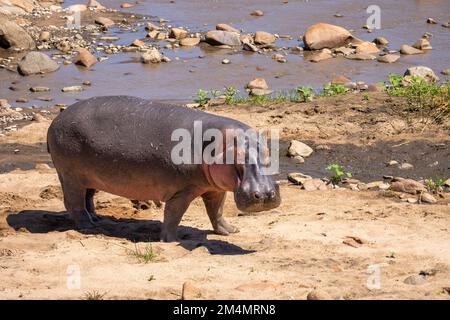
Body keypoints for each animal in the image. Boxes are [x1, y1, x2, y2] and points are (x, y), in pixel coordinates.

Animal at [47, 96, 280, 241]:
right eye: (239, 159)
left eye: (268, 153)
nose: (265, 195)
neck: (215, 143)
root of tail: (56, 120)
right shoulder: (183, 190)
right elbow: (173, 214)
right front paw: (171, 240)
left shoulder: (215, 189)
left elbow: (217, 211)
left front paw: (230, 231)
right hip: (70, 176)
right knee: (74, 202)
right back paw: (89, 226)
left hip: (90, 176)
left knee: (88, 196)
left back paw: (96, 218)